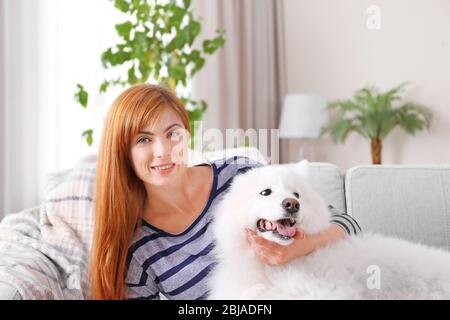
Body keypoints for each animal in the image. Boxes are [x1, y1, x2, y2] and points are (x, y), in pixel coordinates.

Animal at [207, 161, 450, 298]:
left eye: (296, 194)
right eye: (265, 192)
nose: (292, 204)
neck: (270, 268)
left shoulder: (326, 291)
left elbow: (259, 291)